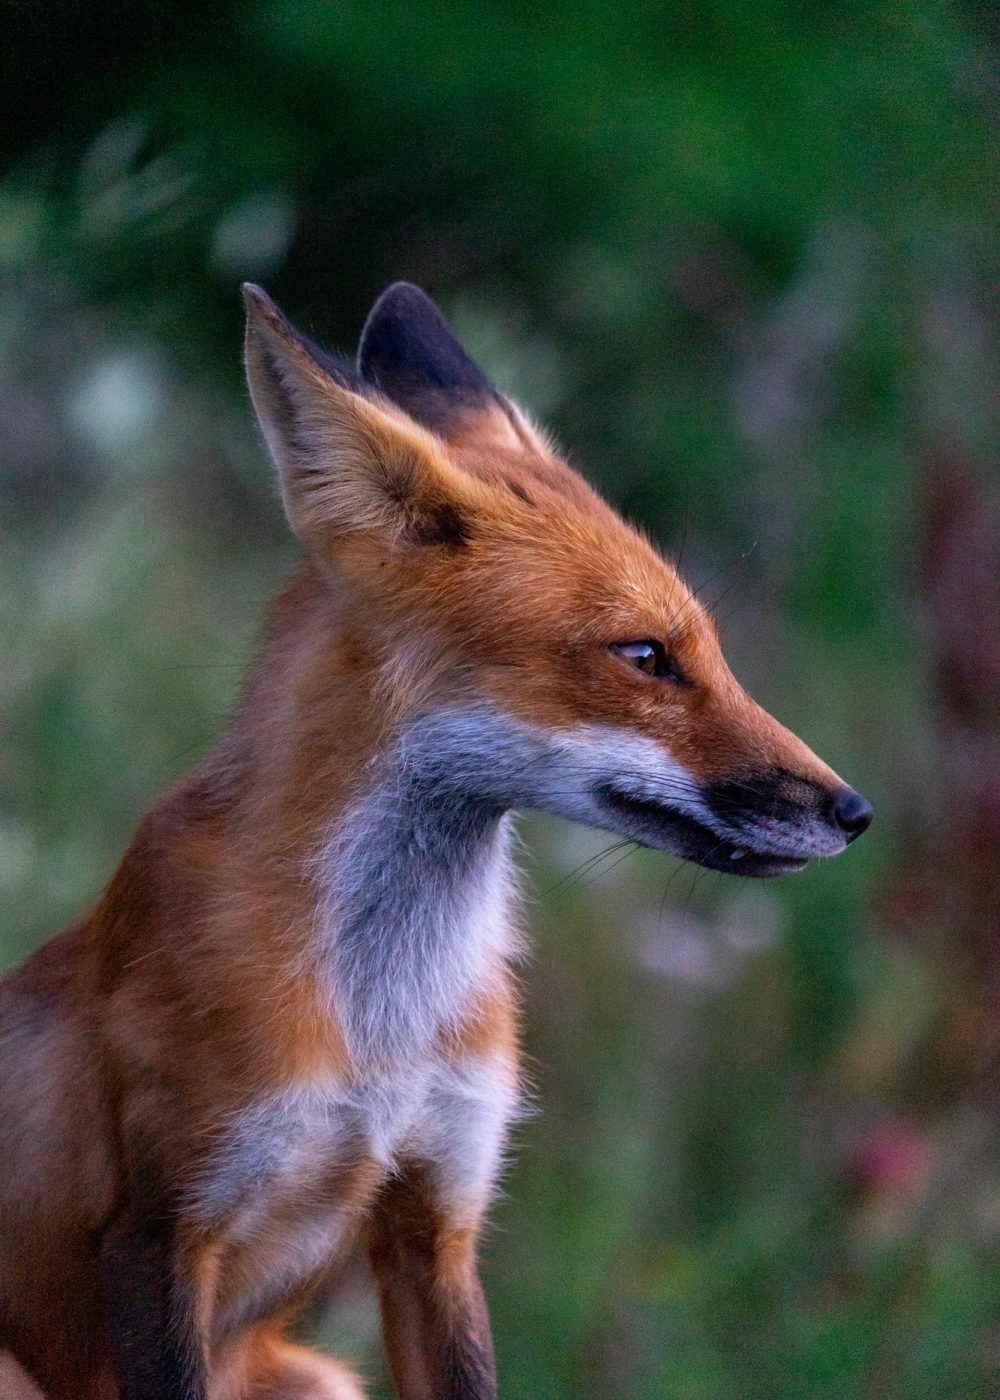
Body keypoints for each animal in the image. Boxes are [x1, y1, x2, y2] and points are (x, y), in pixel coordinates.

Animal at [0, 281, 872, 1400]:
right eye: (645, 655)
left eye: (711, 652)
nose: (852, 810)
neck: (385, 1030)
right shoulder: (160, 1232)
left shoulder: (439, 1219)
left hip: (321, 1377)